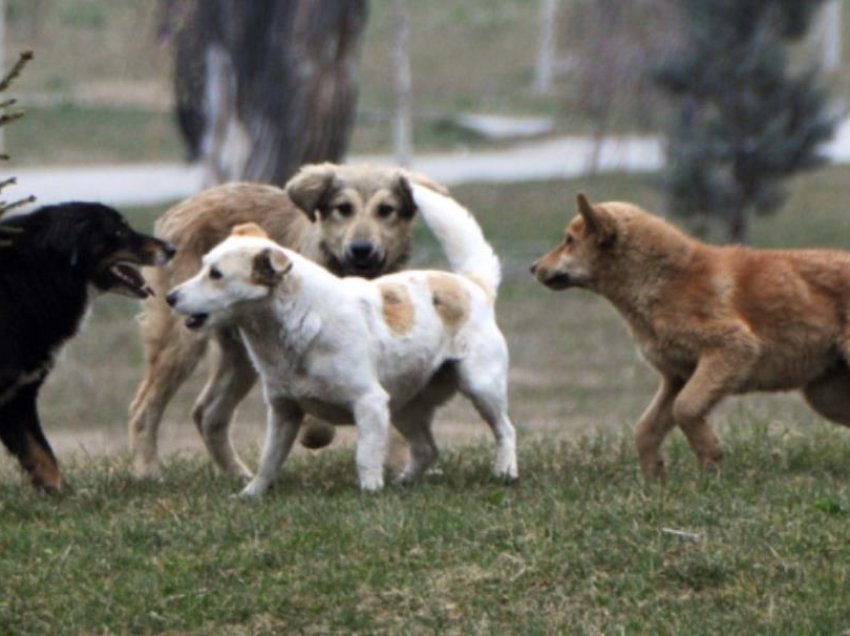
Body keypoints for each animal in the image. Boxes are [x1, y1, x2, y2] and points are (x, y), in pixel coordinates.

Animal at [129, 164, 444, 476]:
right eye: (344, 208)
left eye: (386, 210)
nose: (361, 249)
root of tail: (179, 209)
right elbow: (318, 414)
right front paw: (315, 432)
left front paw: (401, 465)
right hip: (181, 341)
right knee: (144, 408)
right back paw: (148, 472)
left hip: (241, 355)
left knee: (207, 413)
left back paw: (238, 474)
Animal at [162, 184, 512, 496]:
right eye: (204, 266)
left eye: (216, 275)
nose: (170, 297)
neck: (299, 323)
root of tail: (474, 285)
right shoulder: (283, 411)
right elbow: (269, 460)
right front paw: (251, 494)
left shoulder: (369, 403)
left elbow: (365, 457)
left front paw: (370, 493)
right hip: (404, 407)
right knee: (427, 449)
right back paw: (404, 483)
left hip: (479, 386)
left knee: (505, 430)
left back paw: (505, 472)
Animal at [532, 193, 848, 476]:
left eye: (569, 240)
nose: (532, 267)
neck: (663, 279)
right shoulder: (677, 377)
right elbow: (645, 429)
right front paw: (655, 480)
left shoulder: (732, 347)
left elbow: (684, 409)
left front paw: (710, 459)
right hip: (825, 396)